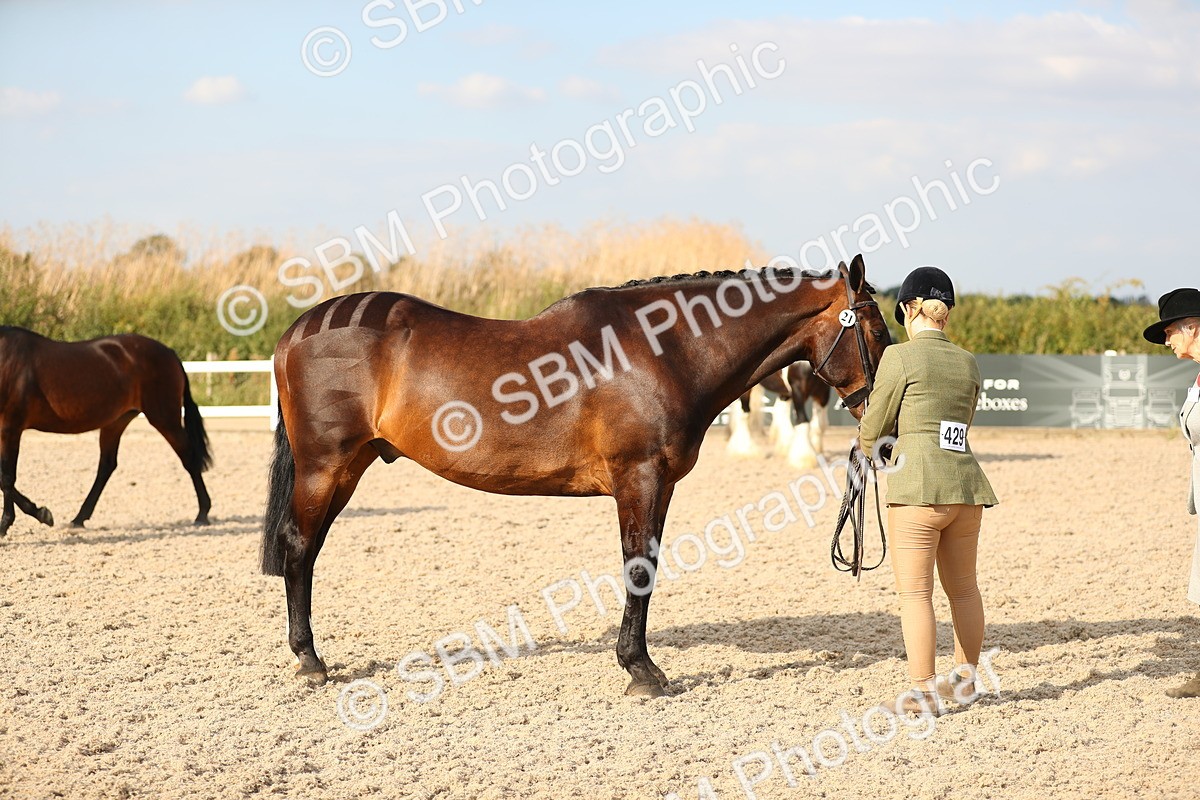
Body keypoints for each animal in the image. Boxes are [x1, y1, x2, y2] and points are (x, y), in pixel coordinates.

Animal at [0, 327, 212, 536]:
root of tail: (170, 353)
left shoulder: (10, 428)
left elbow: (7, 478)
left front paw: (8, 523)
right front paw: (41, 514)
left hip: (164, 418)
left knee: (189, 457)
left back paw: (202, 514)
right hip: (116, 422)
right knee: (107, 466)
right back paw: (79, 518)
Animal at [260, 255, 890, 696]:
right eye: (879, 333)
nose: (884, 439)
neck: (665, 350)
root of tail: (298, 330)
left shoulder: (660, 485)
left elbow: (647, 565)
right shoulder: (639, 477)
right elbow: (638, 567)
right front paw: (641, 671)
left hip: (349, 467)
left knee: (306, 551)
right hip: (325, 467)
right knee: (300, 547)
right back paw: (310, 660)